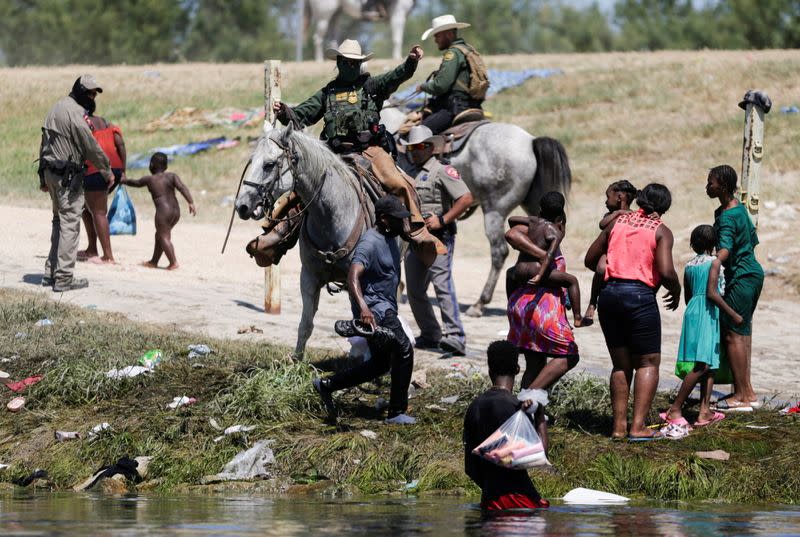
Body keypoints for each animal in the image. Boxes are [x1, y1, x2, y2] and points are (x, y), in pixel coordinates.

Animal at [234, 123, 372, 358]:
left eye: (269, 165)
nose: (241, 206)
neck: (332, 214)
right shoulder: (308, 277)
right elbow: (305, 324)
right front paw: (296, 361)